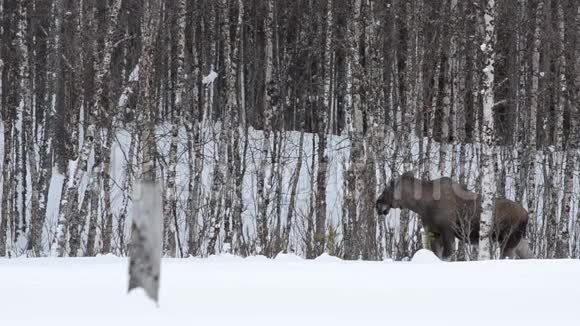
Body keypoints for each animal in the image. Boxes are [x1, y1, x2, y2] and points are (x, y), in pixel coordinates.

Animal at [376, 172, 536, 262]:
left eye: (386, 190)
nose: (378, 205)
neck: (422, 205)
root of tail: (526, 215)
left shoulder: (448, 231)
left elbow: (447, 256)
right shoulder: (434, 232)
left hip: (508, 239)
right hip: (518, 240)